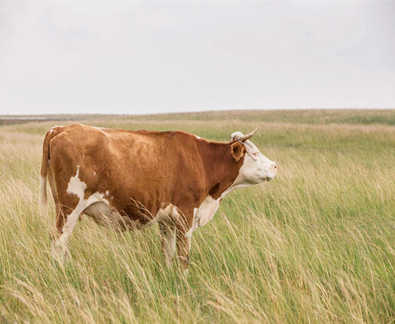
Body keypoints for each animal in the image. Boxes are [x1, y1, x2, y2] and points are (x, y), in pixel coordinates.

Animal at [38, 123, 276, 270]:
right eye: (254, 153)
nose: (275, 165)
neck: (202, 160)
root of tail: (59, 128)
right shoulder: (185, 214)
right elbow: (183, 255)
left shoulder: (167, 219)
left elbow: (168, 252)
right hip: (69, 207)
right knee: (58, 241)